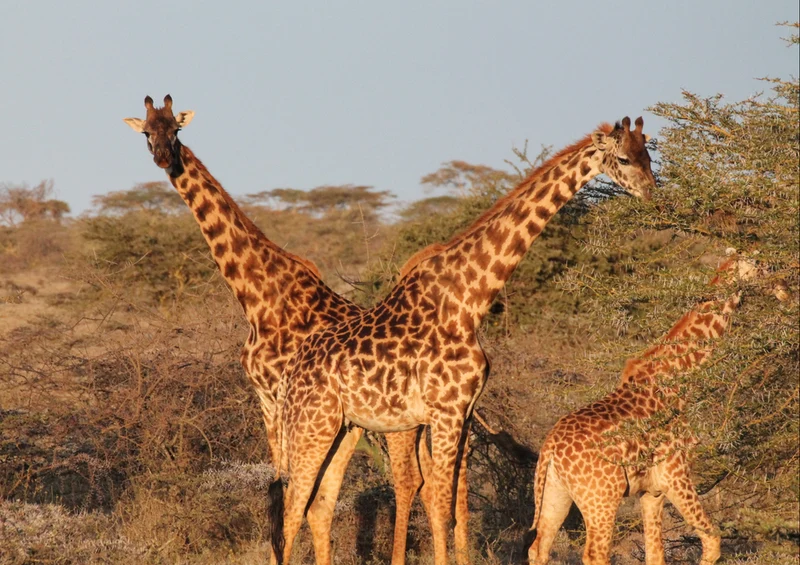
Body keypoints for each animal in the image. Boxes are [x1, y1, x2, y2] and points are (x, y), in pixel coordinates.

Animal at [123, 95, 437, 565]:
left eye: (176, 130)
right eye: (146, 132)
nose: (163, 158)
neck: (258, 296)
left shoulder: (290, 398)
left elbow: (293, 494)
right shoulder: (267, 400)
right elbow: (280, 487)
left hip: (397, 425)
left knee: (409, 481)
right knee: (436, 484)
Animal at [268, 117, 657, 565]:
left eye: (649, 155)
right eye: (623, 159)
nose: (652, 192)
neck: (469, 300)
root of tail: (290, 376)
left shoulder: (466, 413)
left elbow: (455, 507)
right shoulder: (445, 411)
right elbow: (439, 505)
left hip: (343, 429)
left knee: (318, 505)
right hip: (310, 426)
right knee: (292, 511)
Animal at [526, 254, 767, 565]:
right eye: (757, 265)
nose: (776, 272)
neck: (677, 382)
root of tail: (550, 449)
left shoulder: (652, 491)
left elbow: (655, 554)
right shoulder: (675, 473)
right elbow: (712, 540)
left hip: (556, 492)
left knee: (539, 546)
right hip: (601, 498)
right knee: (594, 554)